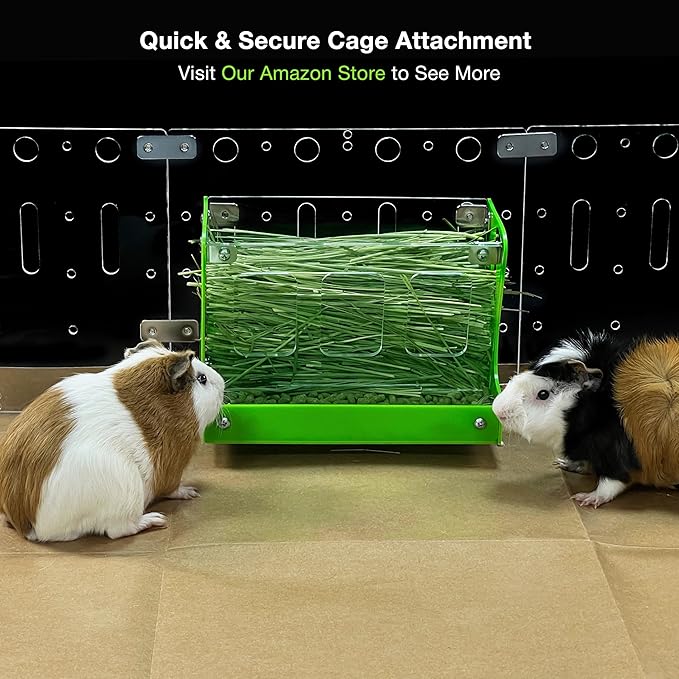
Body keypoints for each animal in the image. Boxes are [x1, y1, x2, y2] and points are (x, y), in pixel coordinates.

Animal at [0, 338, 225, 541]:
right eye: (202, 378)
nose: (222, 383)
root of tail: (28, 524)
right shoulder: (173, 464)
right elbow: (173, 487)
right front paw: (191, 492)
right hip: (127, 492)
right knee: (118, 530)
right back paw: (155, 520)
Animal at [492, 329, 679, 508]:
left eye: (543, 394)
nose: (497, 409)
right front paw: (562, 463)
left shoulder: (614, 455)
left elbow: (611, 483)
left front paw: (585, 499)